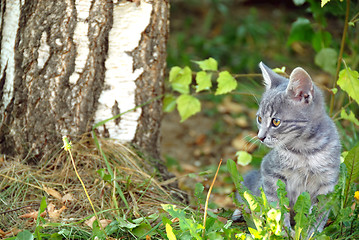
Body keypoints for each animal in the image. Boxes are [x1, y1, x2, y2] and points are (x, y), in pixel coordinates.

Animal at [235, 62, 342, 232]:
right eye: (260, 119)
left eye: (276, 121)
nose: (260, 137)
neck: (305, 150)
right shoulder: (270, 171)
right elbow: (277, 206)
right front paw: (283, 231)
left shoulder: (327, 183)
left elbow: (319, 214)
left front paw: (310, 233)